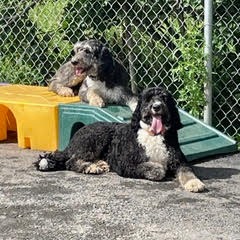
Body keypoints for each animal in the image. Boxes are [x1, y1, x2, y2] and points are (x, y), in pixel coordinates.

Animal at [35, 87, 204, 192]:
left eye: (164, 98)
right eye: (148, 99)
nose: (156, 106)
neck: (153, 135)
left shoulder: (179, 161)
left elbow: (187, 171)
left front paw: (194, 183)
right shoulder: (126, 164)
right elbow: (156, 169)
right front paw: (159, 169)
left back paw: (99, 163)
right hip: (95, 138)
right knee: (71, 161)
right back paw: (91, 167)